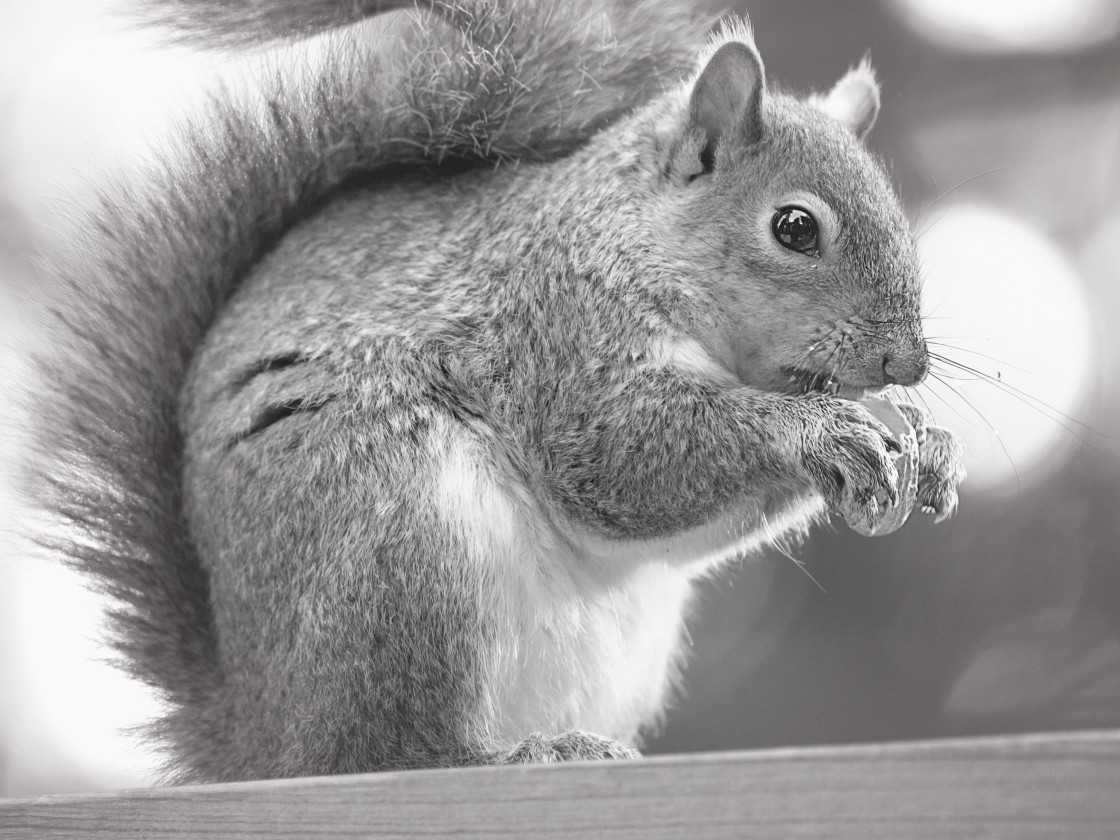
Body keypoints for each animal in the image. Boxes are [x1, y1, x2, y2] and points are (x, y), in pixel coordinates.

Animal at [32, 0, 963, 788]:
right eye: (794, 227)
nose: (907, 362)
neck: (629, 235)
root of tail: (264, 741)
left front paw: (931, 454)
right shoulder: (557, 329)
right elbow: (622, 457)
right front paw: (821, 431)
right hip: (401, 543)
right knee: (394, 752)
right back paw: (515, 755)